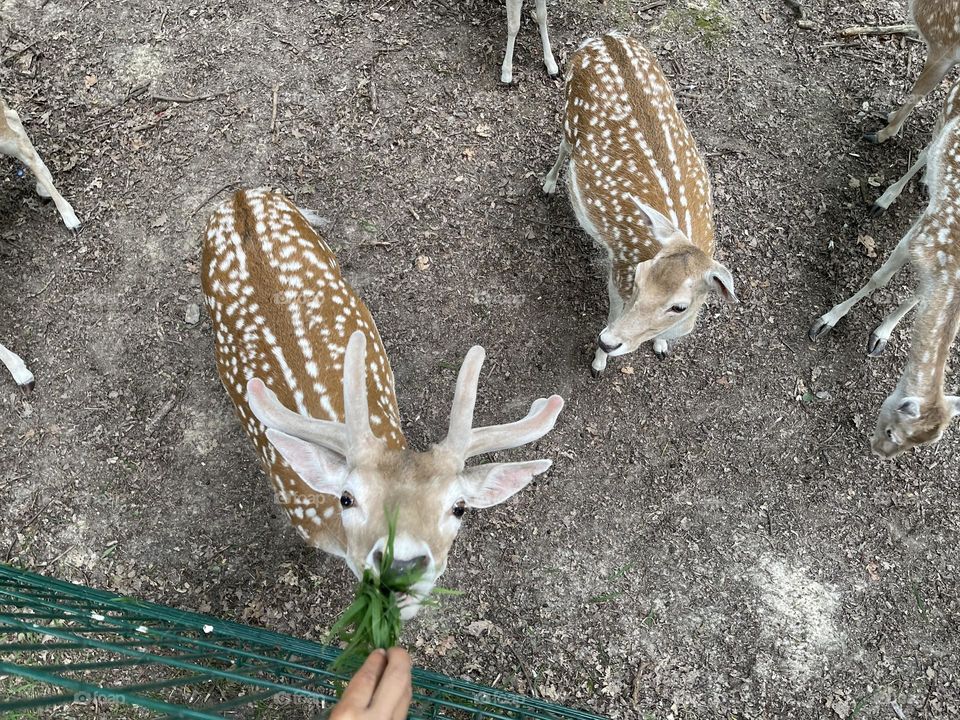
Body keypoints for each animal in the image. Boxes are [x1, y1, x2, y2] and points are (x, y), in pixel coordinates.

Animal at [542, 32, 738, 377]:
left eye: (679, 306)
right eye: (639, 275)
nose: (608, 341)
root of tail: (605, 37)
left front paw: (659, 347)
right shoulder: (619, 270)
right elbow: (612, 312)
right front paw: (598, 363)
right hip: (568, 112)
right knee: (564, 146)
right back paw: (549, 184)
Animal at [809, 115, 960, 458]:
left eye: (922, 444)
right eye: (893, 432)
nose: (879, 453)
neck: (949, 272)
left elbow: (915, 298)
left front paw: (881, 336)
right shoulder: (916, 236)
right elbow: (879, 279)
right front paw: (827, 320)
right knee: (926, 149)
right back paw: (886, 196)